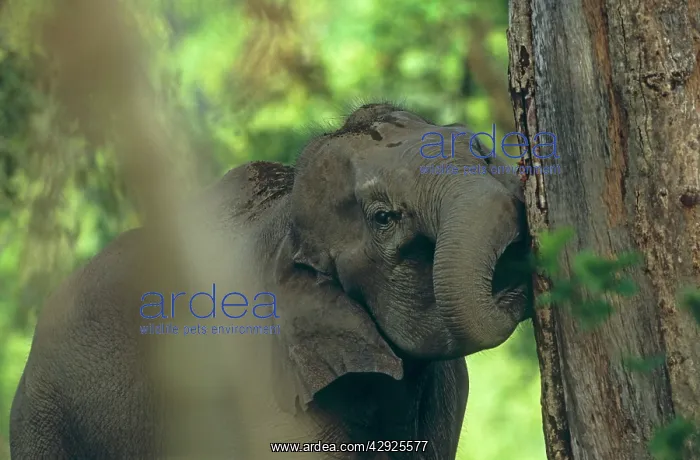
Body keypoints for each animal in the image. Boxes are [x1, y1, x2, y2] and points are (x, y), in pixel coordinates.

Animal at [9, 102, 531, 459]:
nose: (516, 283)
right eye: (383, 218)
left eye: (482, 153)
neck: (286, 221)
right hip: (43, 419)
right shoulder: (261, 386)